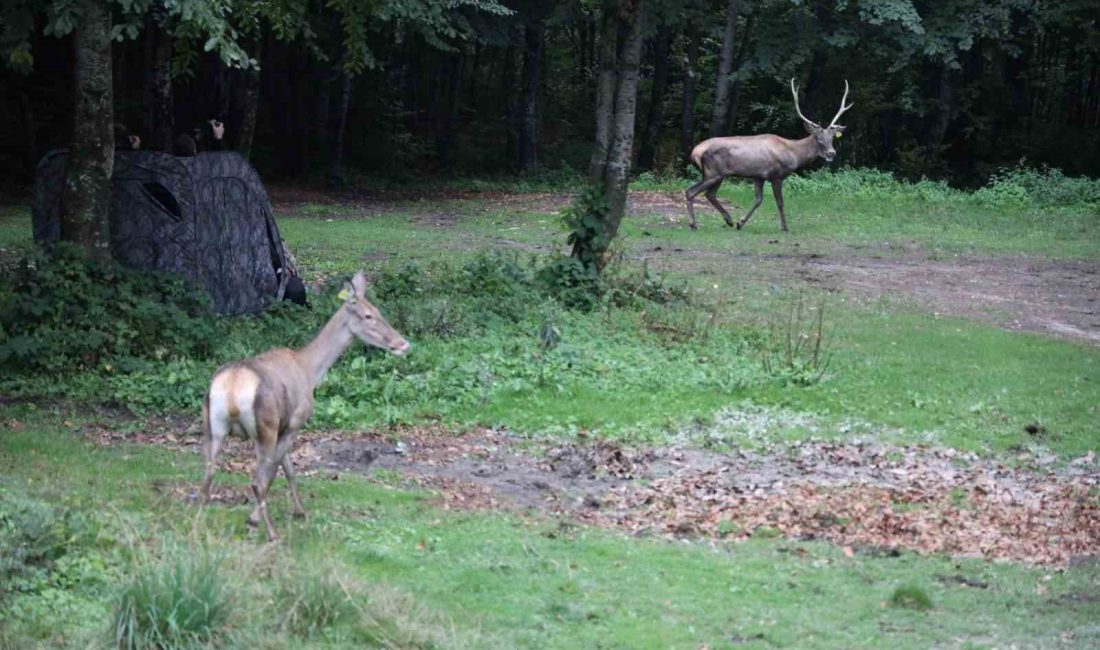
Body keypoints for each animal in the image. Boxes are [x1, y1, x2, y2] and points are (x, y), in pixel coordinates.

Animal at [199, 271, 409, 541]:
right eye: (368, 315)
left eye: (378, 310)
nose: (402, 344)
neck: (310, 370)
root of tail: (233, 387)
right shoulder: (294, 422)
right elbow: (277, 471)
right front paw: (254, 520)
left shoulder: (280, 426)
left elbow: (288, 468)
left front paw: (298, 511)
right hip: (265, 424)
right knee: (257, 481)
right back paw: (271, 533)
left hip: (213, 424)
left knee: (207, 476)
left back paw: (198, 525)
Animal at [686, 79, 849, 233]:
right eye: (818, 138)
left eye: (831, 138)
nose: (831, 153)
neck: (793, 154)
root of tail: (695, 152)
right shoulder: (776, 176)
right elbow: (780, 202)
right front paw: (784, 227)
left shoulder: (758, 176)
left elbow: (758, 200)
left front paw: (740, 223)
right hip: (713, 172)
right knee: (691, 191)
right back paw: (694, 224)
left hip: (718, 174)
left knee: (710, 194)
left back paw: (729, 220)